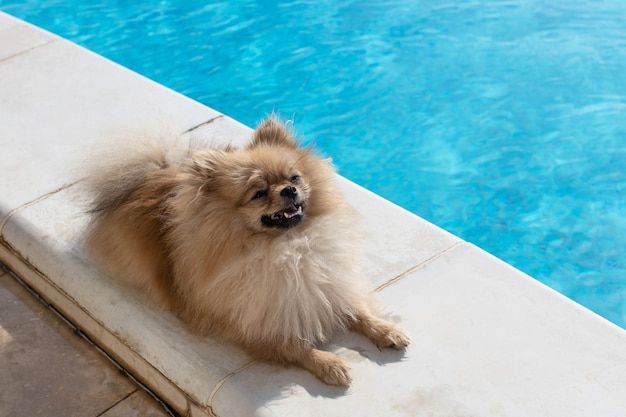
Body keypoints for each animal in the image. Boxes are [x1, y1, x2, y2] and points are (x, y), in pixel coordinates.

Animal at [85, 116, 412, 384]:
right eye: (258, 194)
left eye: (294, 177)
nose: (289, 190)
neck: (289, 245)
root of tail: (153, 175)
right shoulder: (253, 324)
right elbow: (295, 346)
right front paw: (329, 364)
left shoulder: (326, 286)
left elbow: (356, 311)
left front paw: (385, 330)